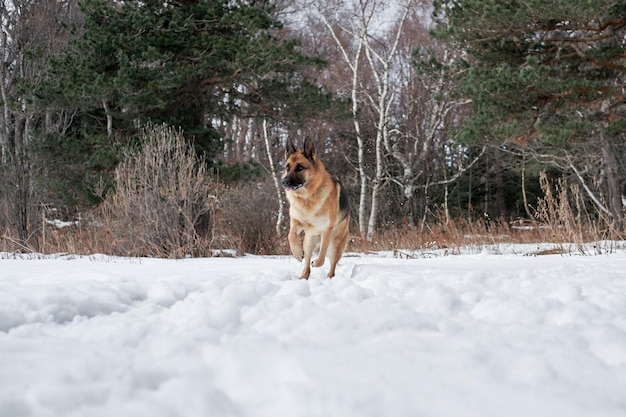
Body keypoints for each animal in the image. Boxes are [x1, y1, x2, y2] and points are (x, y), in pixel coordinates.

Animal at [282, 137, 348, 280]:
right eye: (287, 167)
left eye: (300, 167)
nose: (284, 182)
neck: (308, 197)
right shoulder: (296, 223)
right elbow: (290, 235)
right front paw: (296, 252)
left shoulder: (327, 230)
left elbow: (322, 253)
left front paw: (317, 262)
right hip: (309, 241)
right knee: (306, 263)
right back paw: (303, 278)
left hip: (335, 245)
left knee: (332, 266)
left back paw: (329, 278)